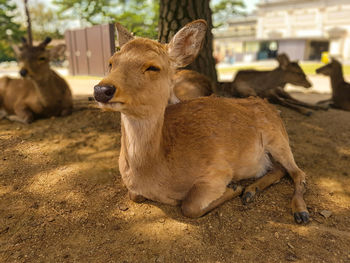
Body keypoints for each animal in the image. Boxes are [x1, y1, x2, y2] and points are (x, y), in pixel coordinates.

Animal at [93, 20, 308, 225]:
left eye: (152, 66)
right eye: (111, 62)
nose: (102, 89)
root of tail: (271, 108)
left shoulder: (218, 171)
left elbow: (190, 206)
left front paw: (234, 187)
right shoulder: (133, 189)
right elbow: (134, 195)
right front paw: (240, 188)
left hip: (279, 140)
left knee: (298, 172)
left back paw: (300, 212)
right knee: (280, 169)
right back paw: (251, 191)